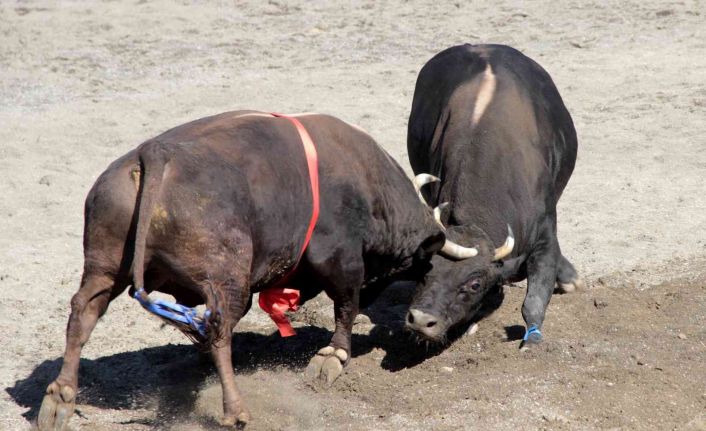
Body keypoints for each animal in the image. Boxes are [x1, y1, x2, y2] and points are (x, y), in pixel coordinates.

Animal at [37, 111, 462, 428]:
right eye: (414, 263)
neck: (366, 179)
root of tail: (154, 154)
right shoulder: (341, 259)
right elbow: (345, 305)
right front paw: (334, 356)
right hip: (227, 279)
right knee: (219, 329)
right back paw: (235, 410)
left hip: (103, 268)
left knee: (83, 314)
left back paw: (58, 399)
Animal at [404, 44, 580, 346]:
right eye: (426, 268)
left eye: (474, 284)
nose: (421, 320)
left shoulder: (545, 231)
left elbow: (535, 297)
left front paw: (532, 342)